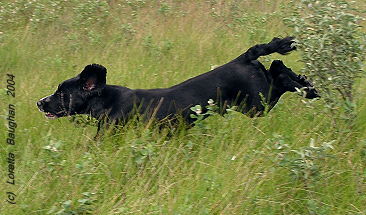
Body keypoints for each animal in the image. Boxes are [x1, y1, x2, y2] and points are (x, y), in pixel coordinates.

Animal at [35, 37, 318, 134]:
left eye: (61, 93)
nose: (39, 102)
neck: (108, 100)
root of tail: (242, 58)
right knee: (279, 66)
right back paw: (310, 87)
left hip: (256, 104)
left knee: (279, 73)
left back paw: (308, 89)